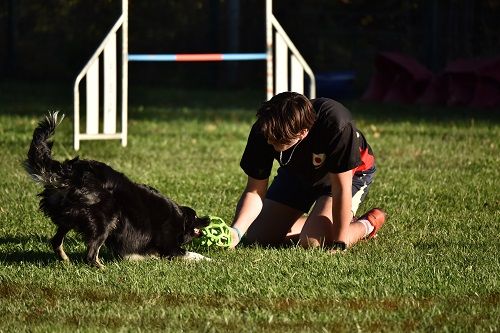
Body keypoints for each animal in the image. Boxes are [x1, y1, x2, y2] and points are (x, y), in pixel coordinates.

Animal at [23, 111, 209, 268]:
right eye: (196, 216)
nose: (208, 219)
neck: (178, 217)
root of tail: (71, 172)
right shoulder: (169, 246)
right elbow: (191, 253)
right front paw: (208, 259)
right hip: (106, 218)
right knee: (90, 255)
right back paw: (101, 268)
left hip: (70, 217)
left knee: (56, 241)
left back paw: (65, 260)